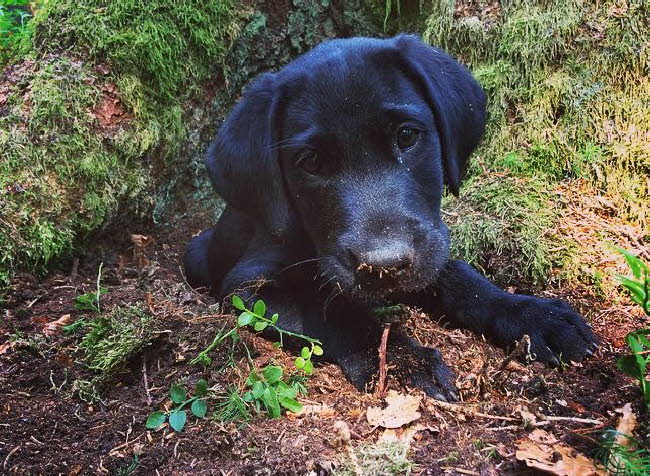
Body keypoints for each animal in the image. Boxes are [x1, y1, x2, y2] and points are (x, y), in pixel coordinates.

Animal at [184, 33, 596, 400]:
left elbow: (460, 277)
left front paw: (534, 315)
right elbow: (331, 309)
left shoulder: (428, 247)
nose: (383, 265)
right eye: (311, 162)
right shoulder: (247, 285)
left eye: (407, 136)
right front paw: (403, 361)